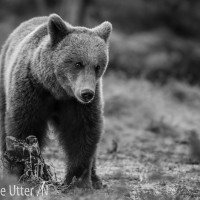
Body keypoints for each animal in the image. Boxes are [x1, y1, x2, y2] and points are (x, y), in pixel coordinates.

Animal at [0, 12, 112, 189]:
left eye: (97, 66)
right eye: (78, 63)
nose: (87, 93)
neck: (57, 90)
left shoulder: (77, 104)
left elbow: (82, 132)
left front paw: (77, 180)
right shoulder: (31, 91)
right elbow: (23, 127)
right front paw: (21, 172)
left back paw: (96, 179)